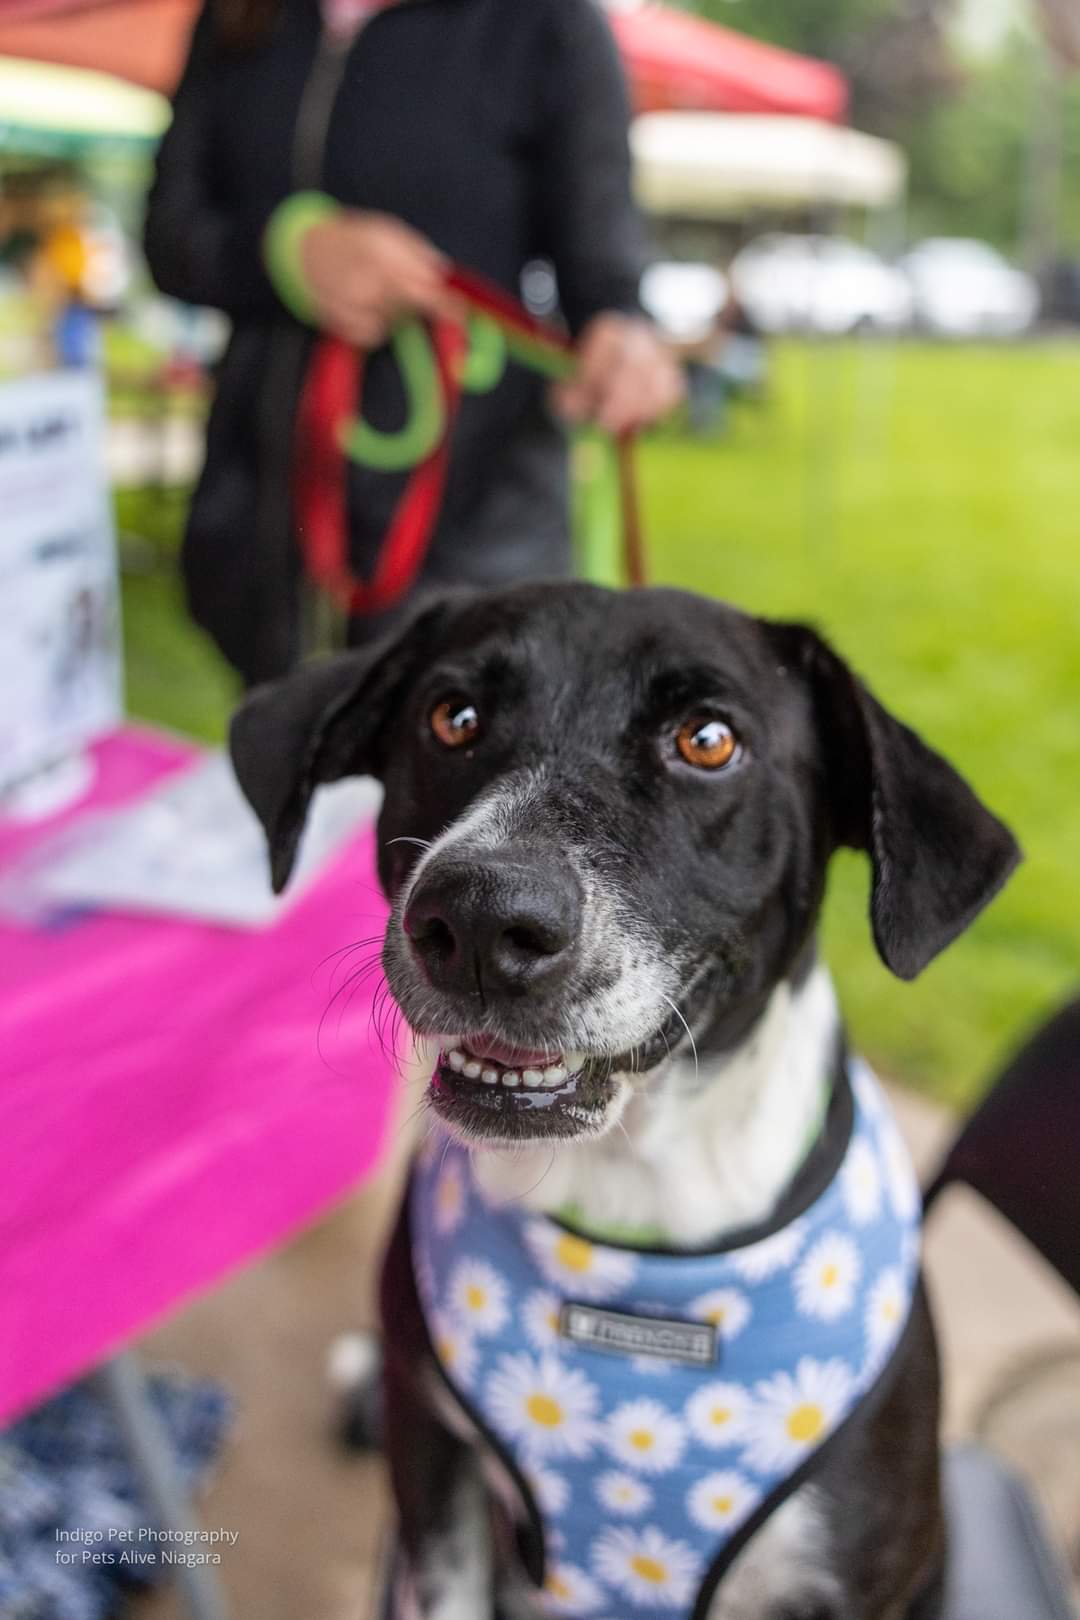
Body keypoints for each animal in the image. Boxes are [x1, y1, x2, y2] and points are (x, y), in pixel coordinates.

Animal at [229, 589, 1023, 1620]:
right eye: (452, 717)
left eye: (710, 740)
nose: (481, 919)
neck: (634, 1190)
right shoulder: (434, 1478)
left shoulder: (851, 1569)